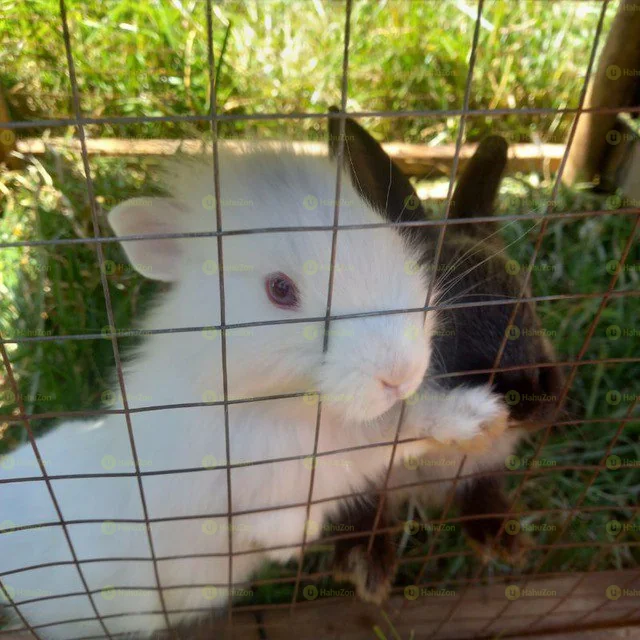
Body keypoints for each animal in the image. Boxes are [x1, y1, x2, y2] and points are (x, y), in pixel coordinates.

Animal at [0, 134, 513, 638]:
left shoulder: (346, 451)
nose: (401, 372)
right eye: (280, 290)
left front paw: (477, 418)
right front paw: (294, 536)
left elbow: (391, 433)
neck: (288, 406)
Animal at [325, 116, 565, 604]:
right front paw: (368, 571)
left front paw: (507, 542)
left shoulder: (484, 464)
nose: (531, 399)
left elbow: (480, 490)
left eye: (527, 299)